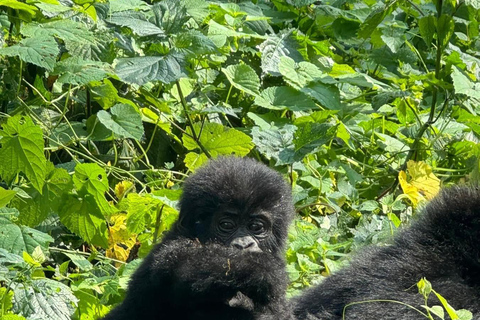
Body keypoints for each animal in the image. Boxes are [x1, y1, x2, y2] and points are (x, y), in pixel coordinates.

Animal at [103, 158, 294, 320]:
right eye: (226, 225)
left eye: (255, 227)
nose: (244, 244)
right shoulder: (170, 254)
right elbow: (190, 266)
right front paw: (266, 270)